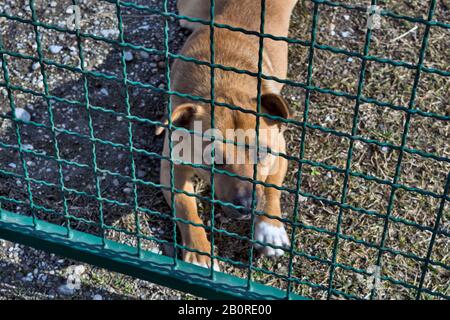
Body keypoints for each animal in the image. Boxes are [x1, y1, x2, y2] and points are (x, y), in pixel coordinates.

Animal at [156, 0, 298, 268]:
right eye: (212, 158)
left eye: (262, 153)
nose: (246, 205)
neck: (223, 83)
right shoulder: (173, 166)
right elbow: (185, 207)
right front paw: (199, 253)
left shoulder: (280, 152)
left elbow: (272, 188)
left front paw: (270, 229)